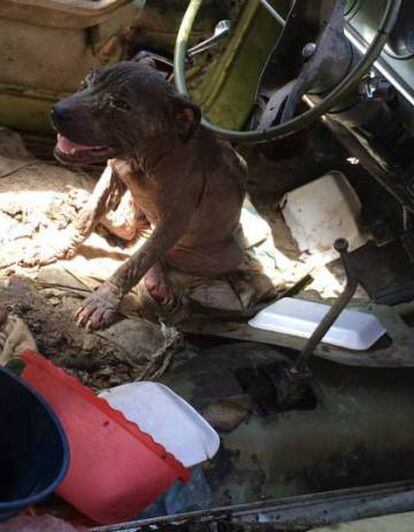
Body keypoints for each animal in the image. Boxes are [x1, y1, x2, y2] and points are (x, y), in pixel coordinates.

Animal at [40, 62, 247, 328]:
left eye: (119, 103)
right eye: (85, 83)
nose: (56, 111)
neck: (146, 156)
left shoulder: (175, 222)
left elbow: (135, 263)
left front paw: (103, 300)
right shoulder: (113, 173)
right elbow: (89, 213)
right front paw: (57, 244)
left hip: (225, 255)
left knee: (154, 252)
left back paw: (158, 280)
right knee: (128, 229)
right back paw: (81, 198)